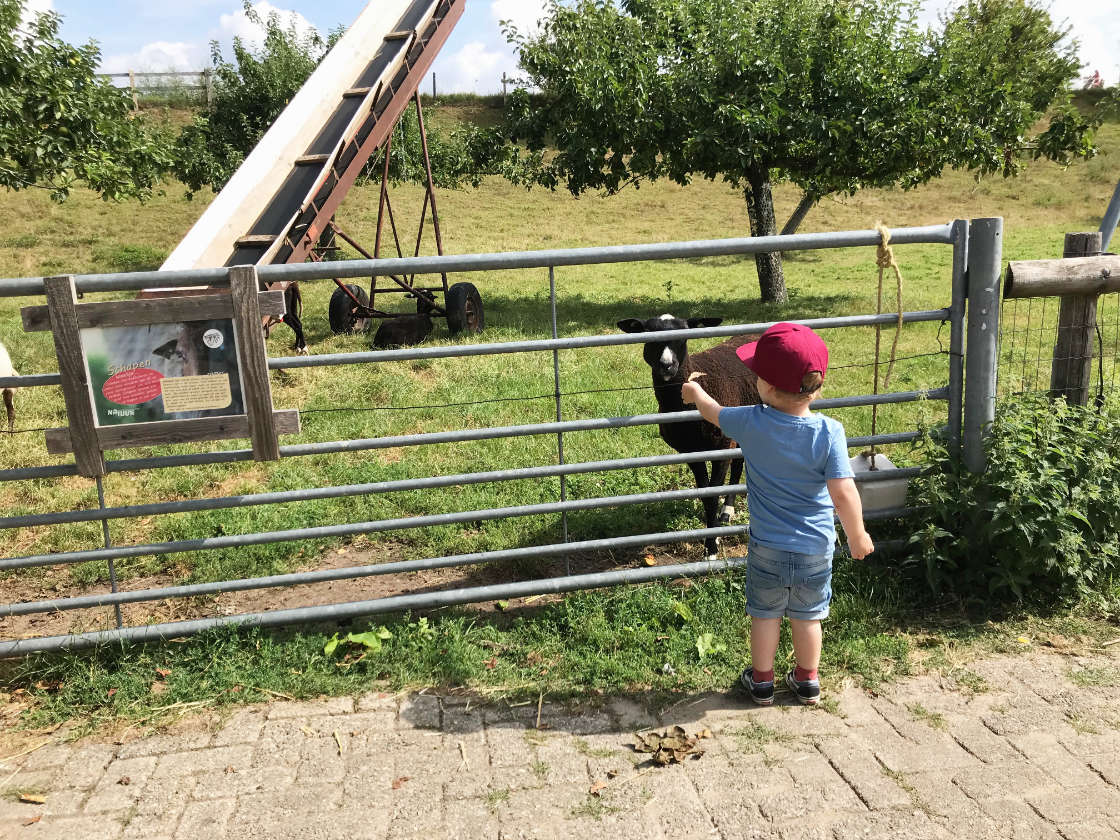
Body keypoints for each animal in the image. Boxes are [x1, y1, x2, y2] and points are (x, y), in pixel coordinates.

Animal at [613, 315, 761, 560]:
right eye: (648, 336)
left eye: (683, 338)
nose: (667, 365)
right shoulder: (690, 452)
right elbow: (705, 496)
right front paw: (711, 538)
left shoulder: (721, 446)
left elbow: (713, 494)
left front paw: (712, 547)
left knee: (739, 463)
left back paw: (727, 511)